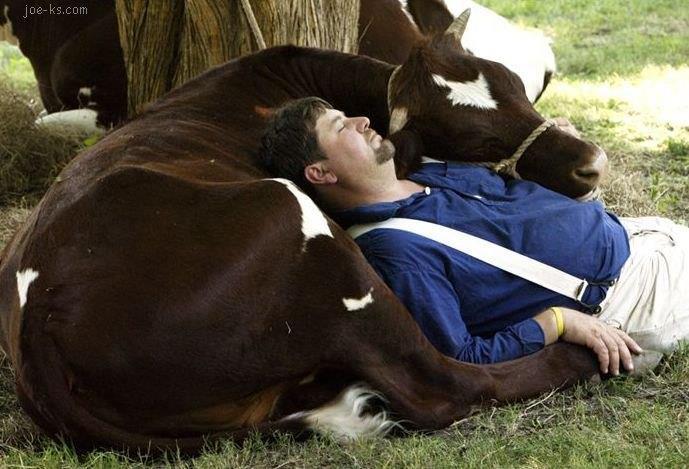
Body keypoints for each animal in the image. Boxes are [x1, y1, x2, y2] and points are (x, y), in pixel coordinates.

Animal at [0, 14, 600, 450]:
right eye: (476, 140)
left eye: (516, 86)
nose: (591, 162)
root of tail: (39, 316)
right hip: (300, 226)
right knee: (443, 385)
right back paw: (580, 354)